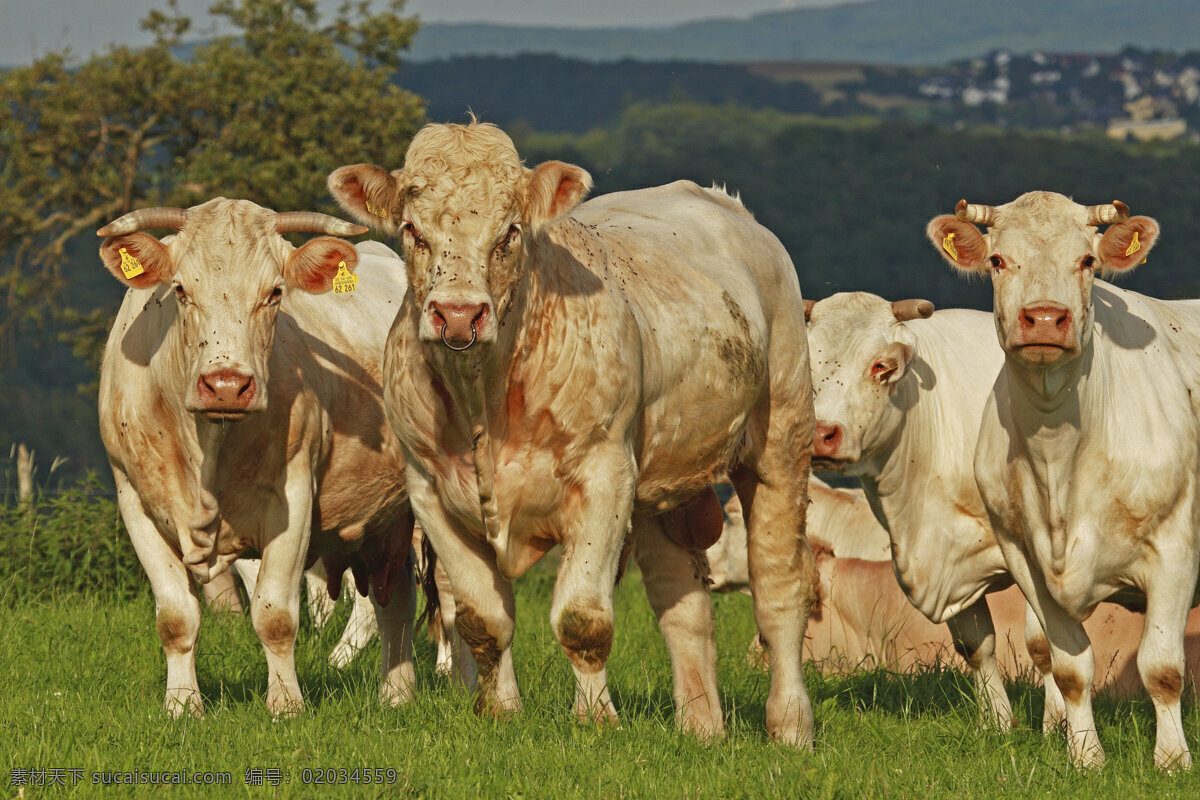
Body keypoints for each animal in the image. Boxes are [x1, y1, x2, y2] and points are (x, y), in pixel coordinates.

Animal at [98, 203, 417, 714]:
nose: (227, 384)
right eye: (180, 289)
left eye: (274, 293)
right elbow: (176, 616)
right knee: (396, 602)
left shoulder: (294, 495)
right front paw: (182, 707)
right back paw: (396, 696)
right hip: (385, 521)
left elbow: (275, 615)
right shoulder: (134, 499)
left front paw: (286, 706)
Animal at [328, 122, 816, 748]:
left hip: (782, 439)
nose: (458, 315)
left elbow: (582, 618)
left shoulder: (604, 476)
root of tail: (724, 203)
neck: (484, 397)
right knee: (684, 605)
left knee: (779, 588)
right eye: (413, 229)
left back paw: (791, 725)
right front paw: (500, 711)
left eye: (510, 232)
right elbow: (483, 620)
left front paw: (595, 719)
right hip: (664, 483)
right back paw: (701, 727)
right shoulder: (430, 490)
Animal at [926, 191, 1200, 767]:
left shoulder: (1176, 548)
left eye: (1088, 261)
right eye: (998, 260)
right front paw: (1085, 757)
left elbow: (1162, 668)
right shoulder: (1025, 557)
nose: (1046, 318)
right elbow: (1070, 668)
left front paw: (1171, 761)